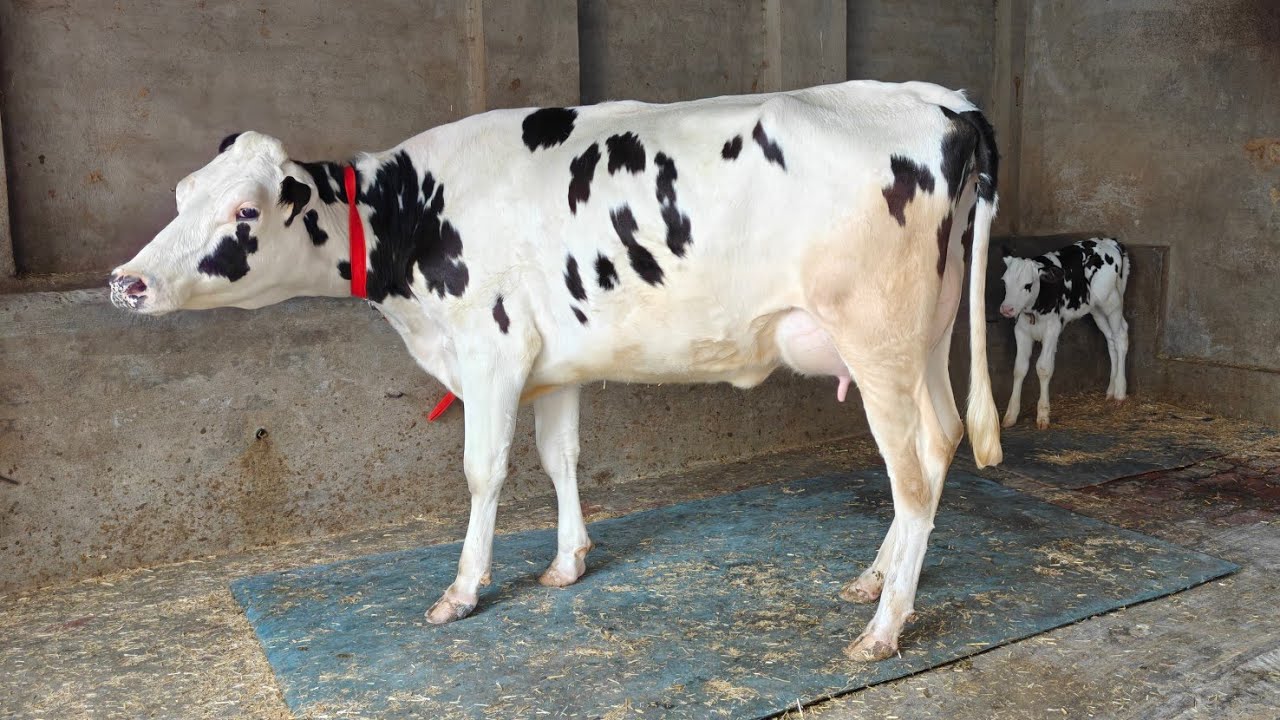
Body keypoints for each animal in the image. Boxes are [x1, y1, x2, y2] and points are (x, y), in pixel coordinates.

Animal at [109, 80, 1003, 661]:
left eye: (246, 211)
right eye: (182, 192)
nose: (128, 281)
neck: (413, 213)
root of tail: (938, 103)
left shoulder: (491, 348)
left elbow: (484, 470)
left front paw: (463, 590)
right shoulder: (555, 359)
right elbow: (560, 457)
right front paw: (567, 563)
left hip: (877, 338)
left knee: (912, 467)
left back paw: (882, 628)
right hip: (924, 337)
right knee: (938, 444)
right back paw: (873, 581)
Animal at [998, 237, 1130, 429]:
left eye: (1027, 285)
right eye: (1004, 282)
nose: (1006, 309)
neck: (1035, 306)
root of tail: (1111, 242)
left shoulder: (1052, 329)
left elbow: (1043, 368)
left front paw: (1043, 415)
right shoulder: (1021, 330)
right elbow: (1019, 369)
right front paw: (1011, 415)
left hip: (1112, 303)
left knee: (1120, 337)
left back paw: (1120, 392)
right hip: (1096, 309)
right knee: (1111, 339)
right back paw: (1111, 391)